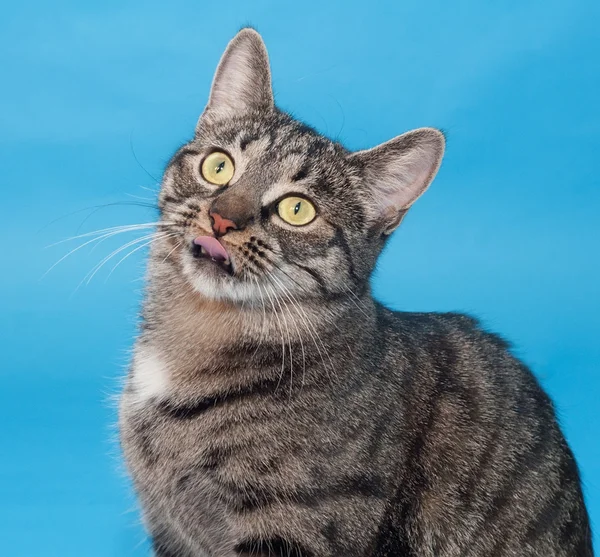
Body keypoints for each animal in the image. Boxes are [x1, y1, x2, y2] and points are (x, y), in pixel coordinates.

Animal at [119, 27, 592, 556]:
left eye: (297, 210)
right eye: (218, 167)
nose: (223, 218)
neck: (195, 336)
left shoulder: (296, 530)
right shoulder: (169, 530)